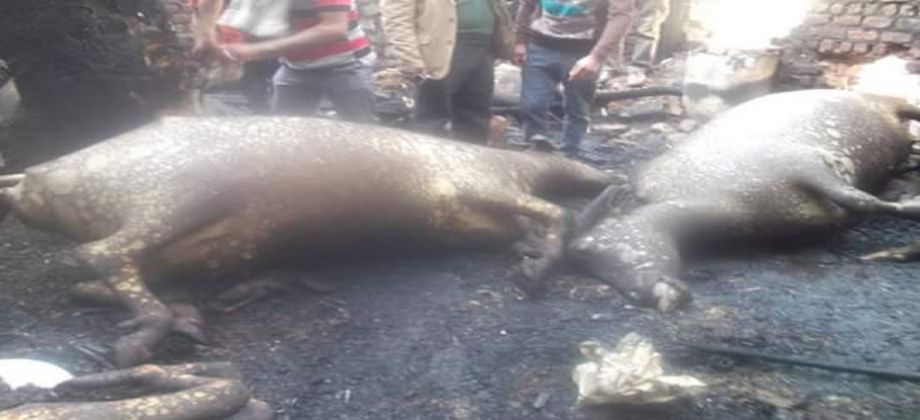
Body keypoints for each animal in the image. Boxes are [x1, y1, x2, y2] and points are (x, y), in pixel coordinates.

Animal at [0, 117, 612, 366]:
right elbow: (556, 217)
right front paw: (540, 263)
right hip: (185, 191)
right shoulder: (474, 184)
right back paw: (150, 328)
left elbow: (543, 225)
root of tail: (37, 179)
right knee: (103, 254)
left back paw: (178, 314)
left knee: (101, 272)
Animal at [569, 89, 920, 312]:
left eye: (588, 247)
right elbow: (860, 204)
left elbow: (864, 202)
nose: (640, 295)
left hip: (888, 102)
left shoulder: (802, 164)